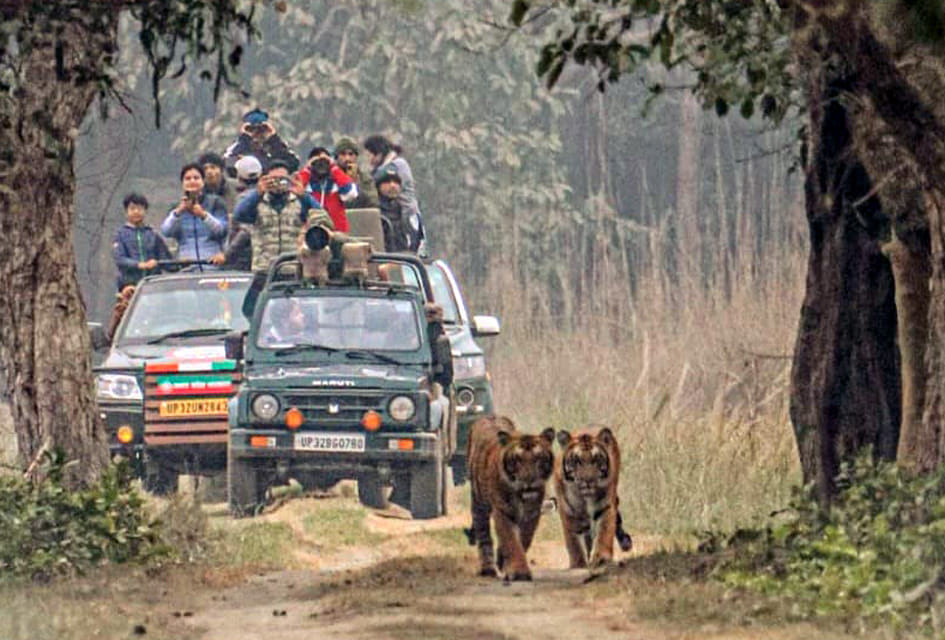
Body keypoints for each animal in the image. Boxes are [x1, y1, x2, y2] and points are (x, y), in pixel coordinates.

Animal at [465, 415, 555, 581]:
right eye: (518, 460)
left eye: (538, 458)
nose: (529, 481)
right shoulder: (502, 510)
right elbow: (511, 540)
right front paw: (520, 572)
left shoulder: (533, 512)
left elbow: (524, 538)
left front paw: (504, 561)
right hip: (478, 503)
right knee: (484, 536)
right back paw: (488, 569)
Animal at [554, 426, 633, 569]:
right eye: (577, 461)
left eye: (596, 460)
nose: (588, 480)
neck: (585, 498)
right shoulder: (569, 512)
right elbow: (573, 542)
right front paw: (578, 564)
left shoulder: (605, 507)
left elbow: (604, 532)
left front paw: (601, 558)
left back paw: (625, 542)